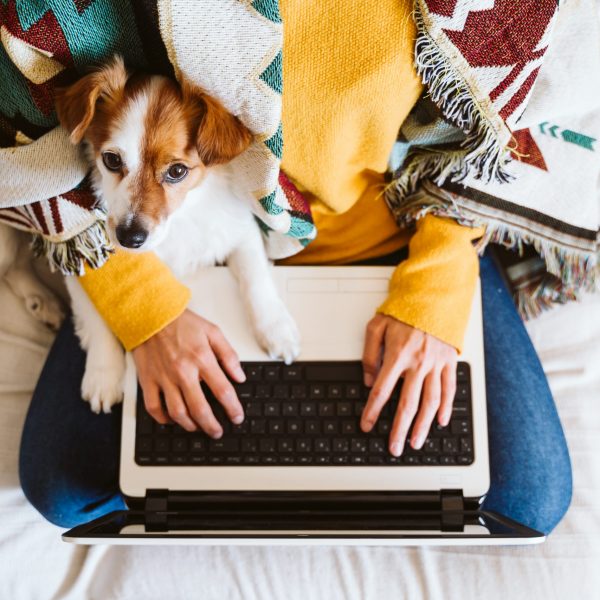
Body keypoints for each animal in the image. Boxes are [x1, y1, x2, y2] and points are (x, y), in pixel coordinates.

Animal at [45, 56, 300, 412]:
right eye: (111, 160)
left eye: (177, 171)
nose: (129, 238)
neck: (176, 225)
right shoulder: (82, 259)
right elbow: (96, 314)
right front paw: (103, 373)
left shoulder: (239, 230)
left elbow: (255, 277)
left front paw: (276, 329)